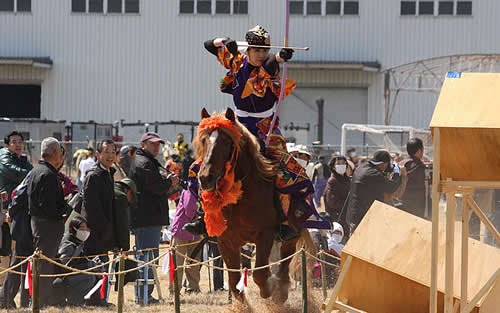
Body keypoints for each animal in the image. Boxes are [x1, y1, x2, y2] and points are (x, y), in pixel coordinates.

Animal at [194, 107, 312, 302]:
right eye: (203, 140)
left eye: (227, 141)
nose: (205, 178)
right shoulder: (226, 241)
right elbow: (234, 283)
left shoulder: (265, 235)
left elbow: (260, 275)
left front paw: (271, 288)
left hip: (291, 234)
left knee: (285, 262)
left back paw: (281, 290)